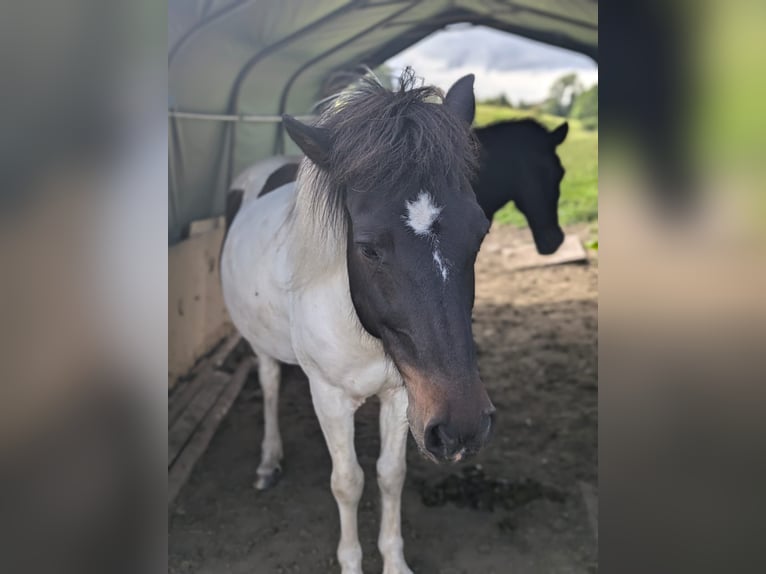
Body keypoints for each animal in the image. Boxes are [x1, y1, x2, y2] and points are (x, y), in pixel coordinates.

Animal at [225, 72, 496, 574]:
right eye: (368, 248)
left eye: (480, 232)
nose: (464, 426)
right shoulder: (330, 397)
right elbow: (347, 481)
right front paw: (352, 562)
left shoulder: (404, 394)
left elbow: (391, 475)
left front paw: (394, 562)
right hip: (259, 342)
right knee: (269, 383)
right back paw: (269, 461)